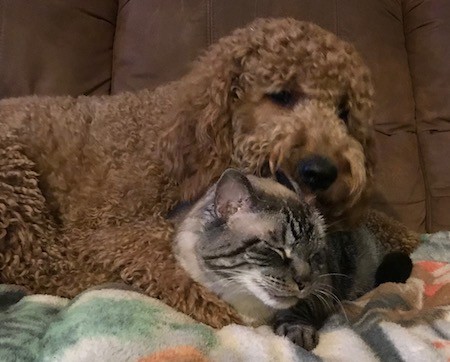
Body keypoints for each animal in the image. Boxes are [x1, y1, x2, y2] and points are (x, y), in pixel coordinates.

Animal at [0, 17, 418, 328]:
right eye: (282, 95)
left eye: (344, 113)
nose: (321, 171)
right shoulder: (107, 234)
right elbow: (155, 254)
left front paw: (406, 235)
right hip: (16, 184)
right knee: (46, 267)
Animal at [172, 170, 412, 350]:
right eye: (279, 251)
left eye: (314, 255)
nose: (304, 282)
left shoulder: (322, 289)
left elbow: (297, 309)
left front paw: (298, 333)